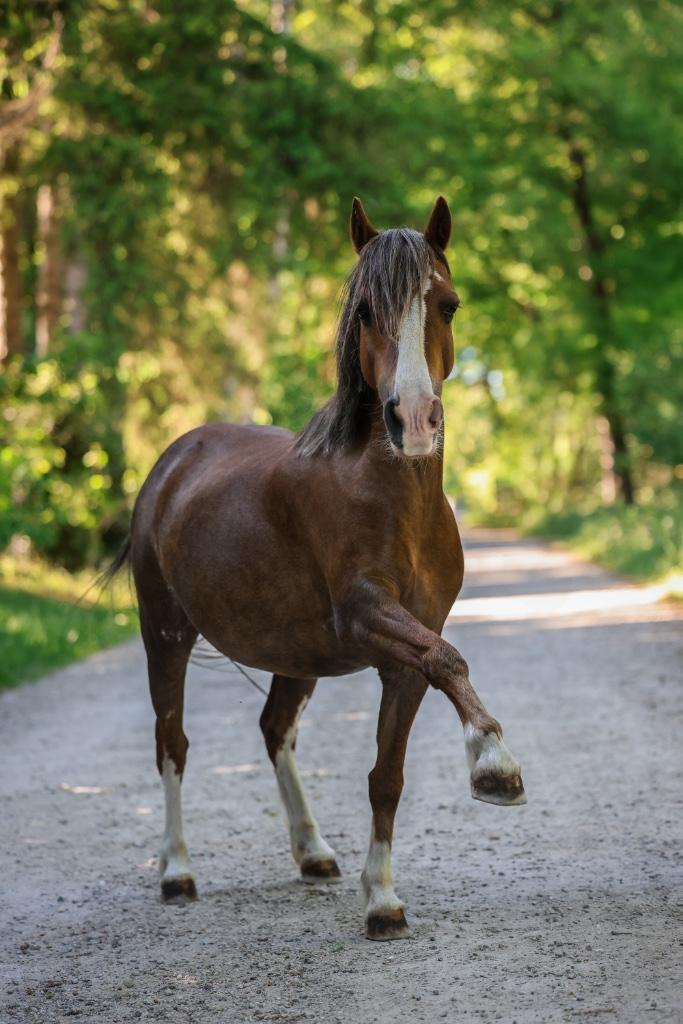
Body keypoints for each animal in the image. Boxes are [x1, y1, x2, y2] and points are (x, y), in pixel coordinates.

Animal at [113, 196, 526, 941]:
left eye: (448, 305)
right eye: (363, 309)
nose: (412, 420)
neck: (391, 496)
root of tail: (174, 459)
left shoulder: (403, 657)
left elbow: (387, 773)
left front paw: (382, 898)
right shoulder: (366, 616)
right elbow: (449, 658)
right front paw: (494, 764)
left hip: (293, 655)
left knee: (275, 730)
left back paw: (312, 851)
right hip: (164, 634)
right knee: (172, 742)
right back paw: (176, 870)